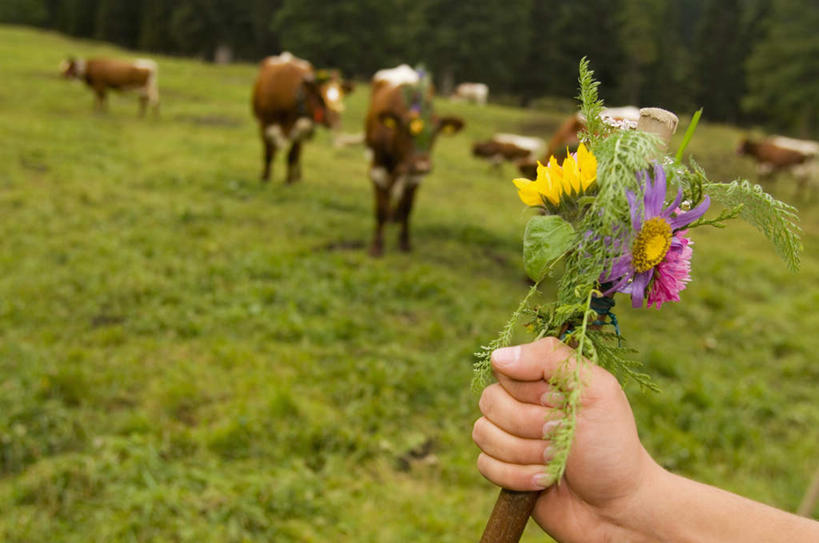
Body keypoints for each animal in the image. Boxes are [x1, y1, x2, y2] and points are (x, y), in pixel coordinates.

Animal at [251, 51, 350, 183]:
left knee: (298, 154)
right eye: (320, 96)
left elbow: (291, 156)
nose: (336, 121)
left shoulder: (299, 128)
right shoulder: (265, 124)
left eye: (340, 96)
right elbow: (268, 152)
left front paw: (288, 181)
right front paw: (265, 177)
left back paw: (297, 177)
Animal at [364, 64, 462, 258]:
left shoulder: (415, 176)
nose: (422, 165)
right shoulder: (377, 167)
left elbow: (407, 209)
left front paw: (404, 242)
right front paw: (377, 246)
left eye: (435, 133)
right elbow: (380, 209)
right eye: (405, 130)